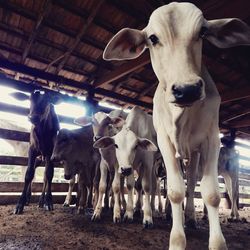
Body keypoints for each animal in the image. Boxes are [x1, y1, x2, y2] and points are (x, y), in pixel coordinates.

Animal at [101, 1, 250, 248]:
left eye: (203, 32)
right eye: (152, 38)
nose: (186, 89)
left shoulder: (211, 140)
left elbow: (211, 194)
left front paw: (217, 242)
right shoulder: (165, 144)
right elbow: (174, 191)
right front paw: (176, 239)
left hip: (199, 156)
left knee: (198, 185)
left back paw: (191, 217)